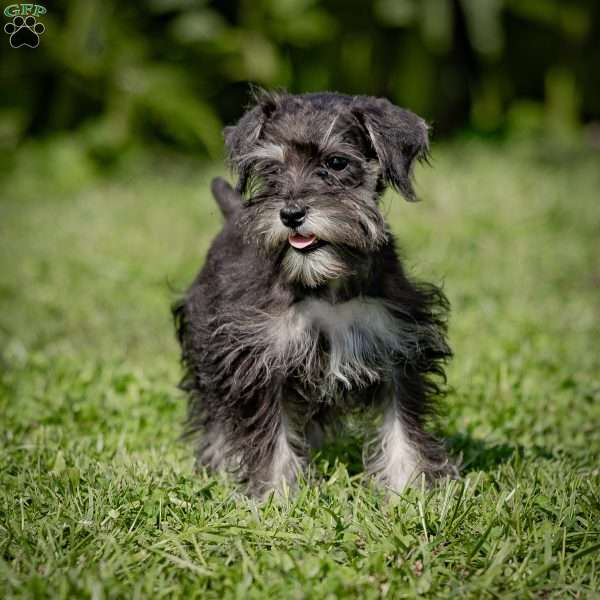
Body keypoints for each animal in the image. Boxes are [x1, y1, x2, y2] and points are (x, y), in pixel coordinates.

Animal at [173, 90, 454, 496]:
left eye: (336, 163)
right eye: (272, 168)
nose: (291, 214)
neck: (327, 283)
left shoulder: (399, 348)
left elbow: (403, 427)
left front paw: (409, 489)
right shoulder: (259, 359)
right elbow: (270, 436)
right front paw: (276, 495)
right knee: (217, 413)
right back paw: (221, 460)